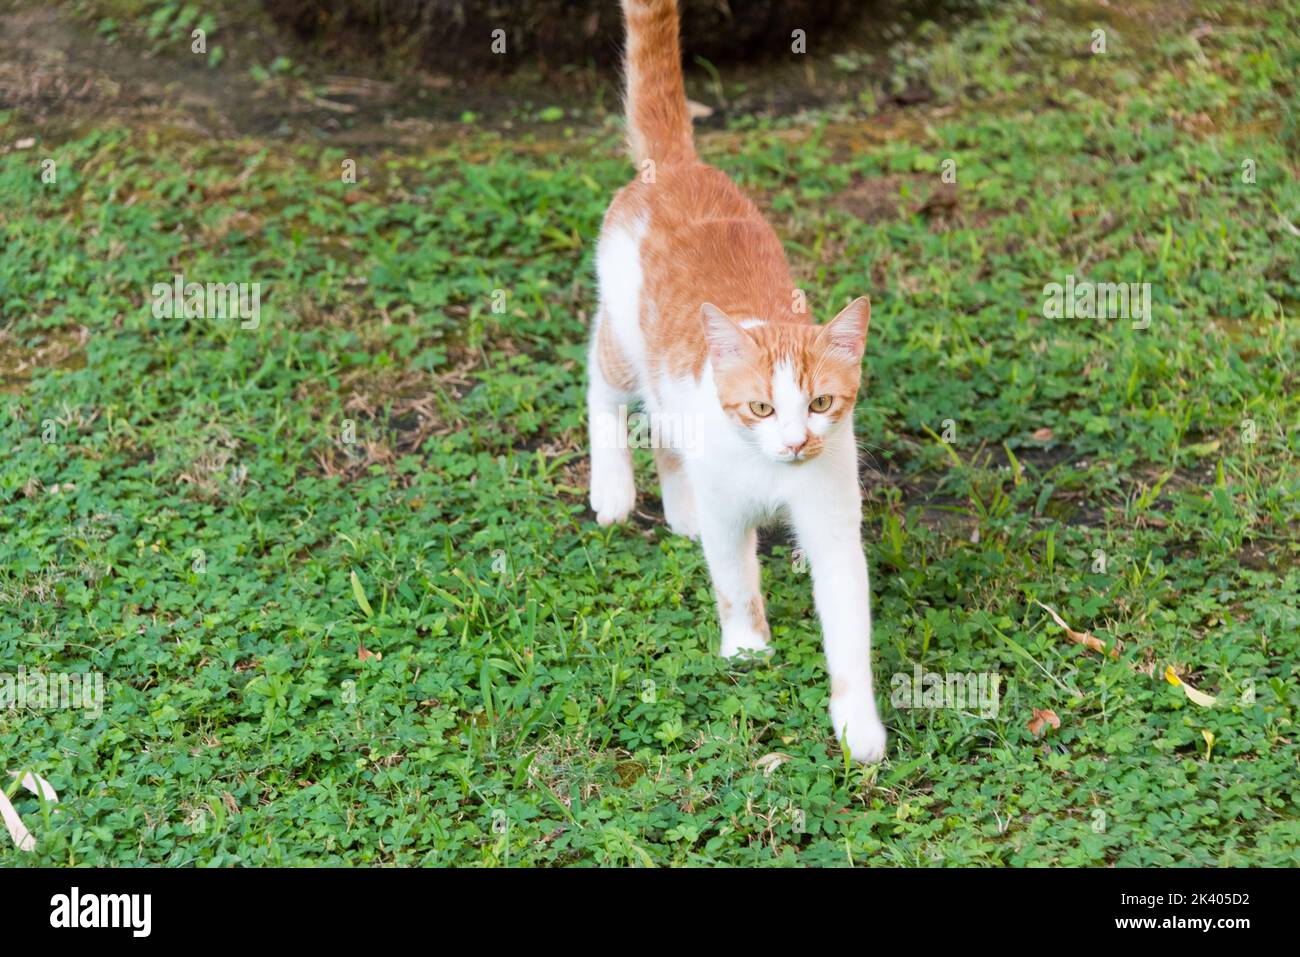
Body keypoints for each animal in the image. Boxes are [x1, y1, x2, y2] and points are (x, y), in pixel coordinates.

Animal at [587, 0, 883, 764]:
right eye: (759, 407)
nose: (796, 443)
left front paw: (858, 724)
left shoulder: (833, 523)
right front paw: (748, 644)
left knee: (665, 426)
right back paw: (614, 489)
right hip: (624, 337)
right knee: (602, 386)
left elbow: (848, 626)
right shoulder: (731, 512)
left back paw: (678, 502)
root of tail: (678, 165)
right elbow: (734, 579)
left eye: (820, 402)